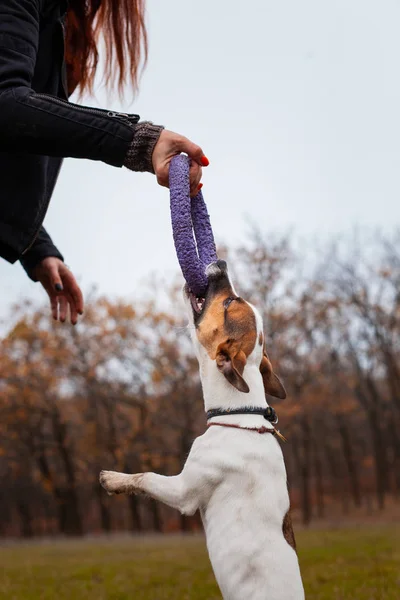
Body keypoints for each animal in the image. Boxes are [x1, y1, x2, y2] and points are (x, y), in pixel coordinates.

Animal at [100, 260, 304, 600]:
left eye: (229, 302)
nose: (221, 263)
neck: (240, 415)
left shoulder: (183, 492)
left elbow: (146, 477)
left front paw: (113, 479)